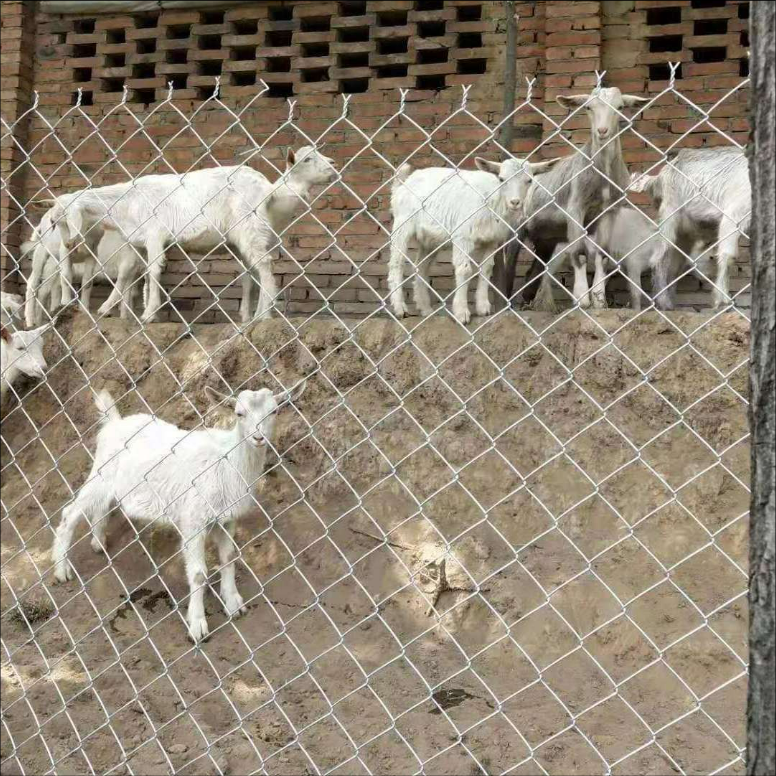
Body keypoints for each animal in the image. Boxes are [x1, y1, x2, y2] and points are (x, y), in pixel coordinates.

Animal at [50, 146, 336, 324]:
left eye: (60, 220)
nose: (69, 244)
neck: (127, 203)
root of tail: (266, 188)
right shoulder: (137, 242)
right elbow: (126, 275)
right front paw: (106, 308)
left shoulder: (155, 235)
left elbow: (153, 271)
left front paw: (149, 314)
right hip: (242, 237)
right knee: (250, 273)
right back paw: (247, 316)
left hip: (250, 227)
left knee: (265, 267)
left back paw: (264, 315)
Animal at [51, 382, 304, 644]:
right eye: (239, 413)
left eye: (274, 411)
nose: (258, 438)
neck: (228, 461)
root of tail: (114, 422)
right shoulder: (193, 520)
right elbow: (198, 574)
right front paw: (197, 625)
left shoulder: (227, 519)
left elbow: (228, 557)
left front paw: (233, 603)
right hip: (101, 474)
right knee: (69, 514)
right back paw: (62, 569)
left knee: (101, 507)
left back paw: (98, 542)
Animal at [392, 155, 560, 324]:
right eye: (501, 179)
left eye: (529, 180)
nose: (515, 202)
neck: (493, 198)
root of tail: (404, 183)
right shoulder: (462, 236)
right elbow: (464, 270)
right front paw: (461, 312)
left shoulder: (493, 240)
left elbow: (486, 268)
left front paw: (483, 307)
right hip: (402, 224)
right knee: (397, 263)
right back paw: (400, 308)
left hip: (430, 239)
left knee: (421, 266)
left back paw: (425, 309)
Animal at [510, 86, 656, 310]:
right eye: (588, 107)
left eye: (620, 107)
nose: (602, 131)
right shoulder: (575, 207)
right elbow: (578, 252)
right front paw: (581, 298)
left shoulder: (609, 210)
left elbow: (602, 255)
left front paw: (599, 300)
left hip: (547, 237)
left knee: (536, 269)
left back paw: (531, 302)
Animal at [632, 148, 752, 310]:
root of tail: (660, 176)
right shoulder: (734, 214)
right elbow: (729, 255)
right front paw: (722, 301)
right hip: (670, 213)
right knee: (660, 255)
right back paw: (663, 302)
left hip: (685, 232)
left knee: (674, 265)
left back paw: (671, 302)